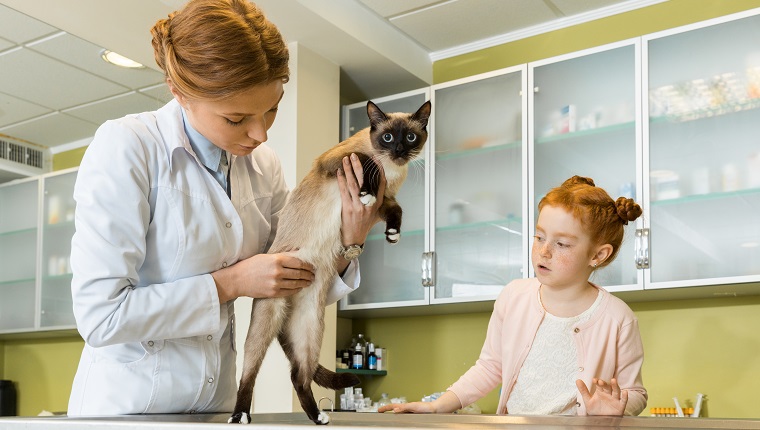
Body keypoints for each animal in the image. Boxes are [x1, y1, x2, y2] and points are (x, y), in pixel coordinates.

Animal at [229, 100, 430, 424]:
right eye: (387, 137)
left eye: (410, 137)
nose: (399, 150)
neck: (391, 170)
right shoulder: (337, 161)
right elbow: (366, 162)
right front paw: (365, 192)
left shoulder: (386, 201)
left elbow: (397, 210)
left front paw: (393, 234)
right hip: (265, 324)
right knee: (249, 372)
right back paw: (240, 415)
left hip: (310, 330)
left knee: (299, 375)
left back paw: (319, 417)